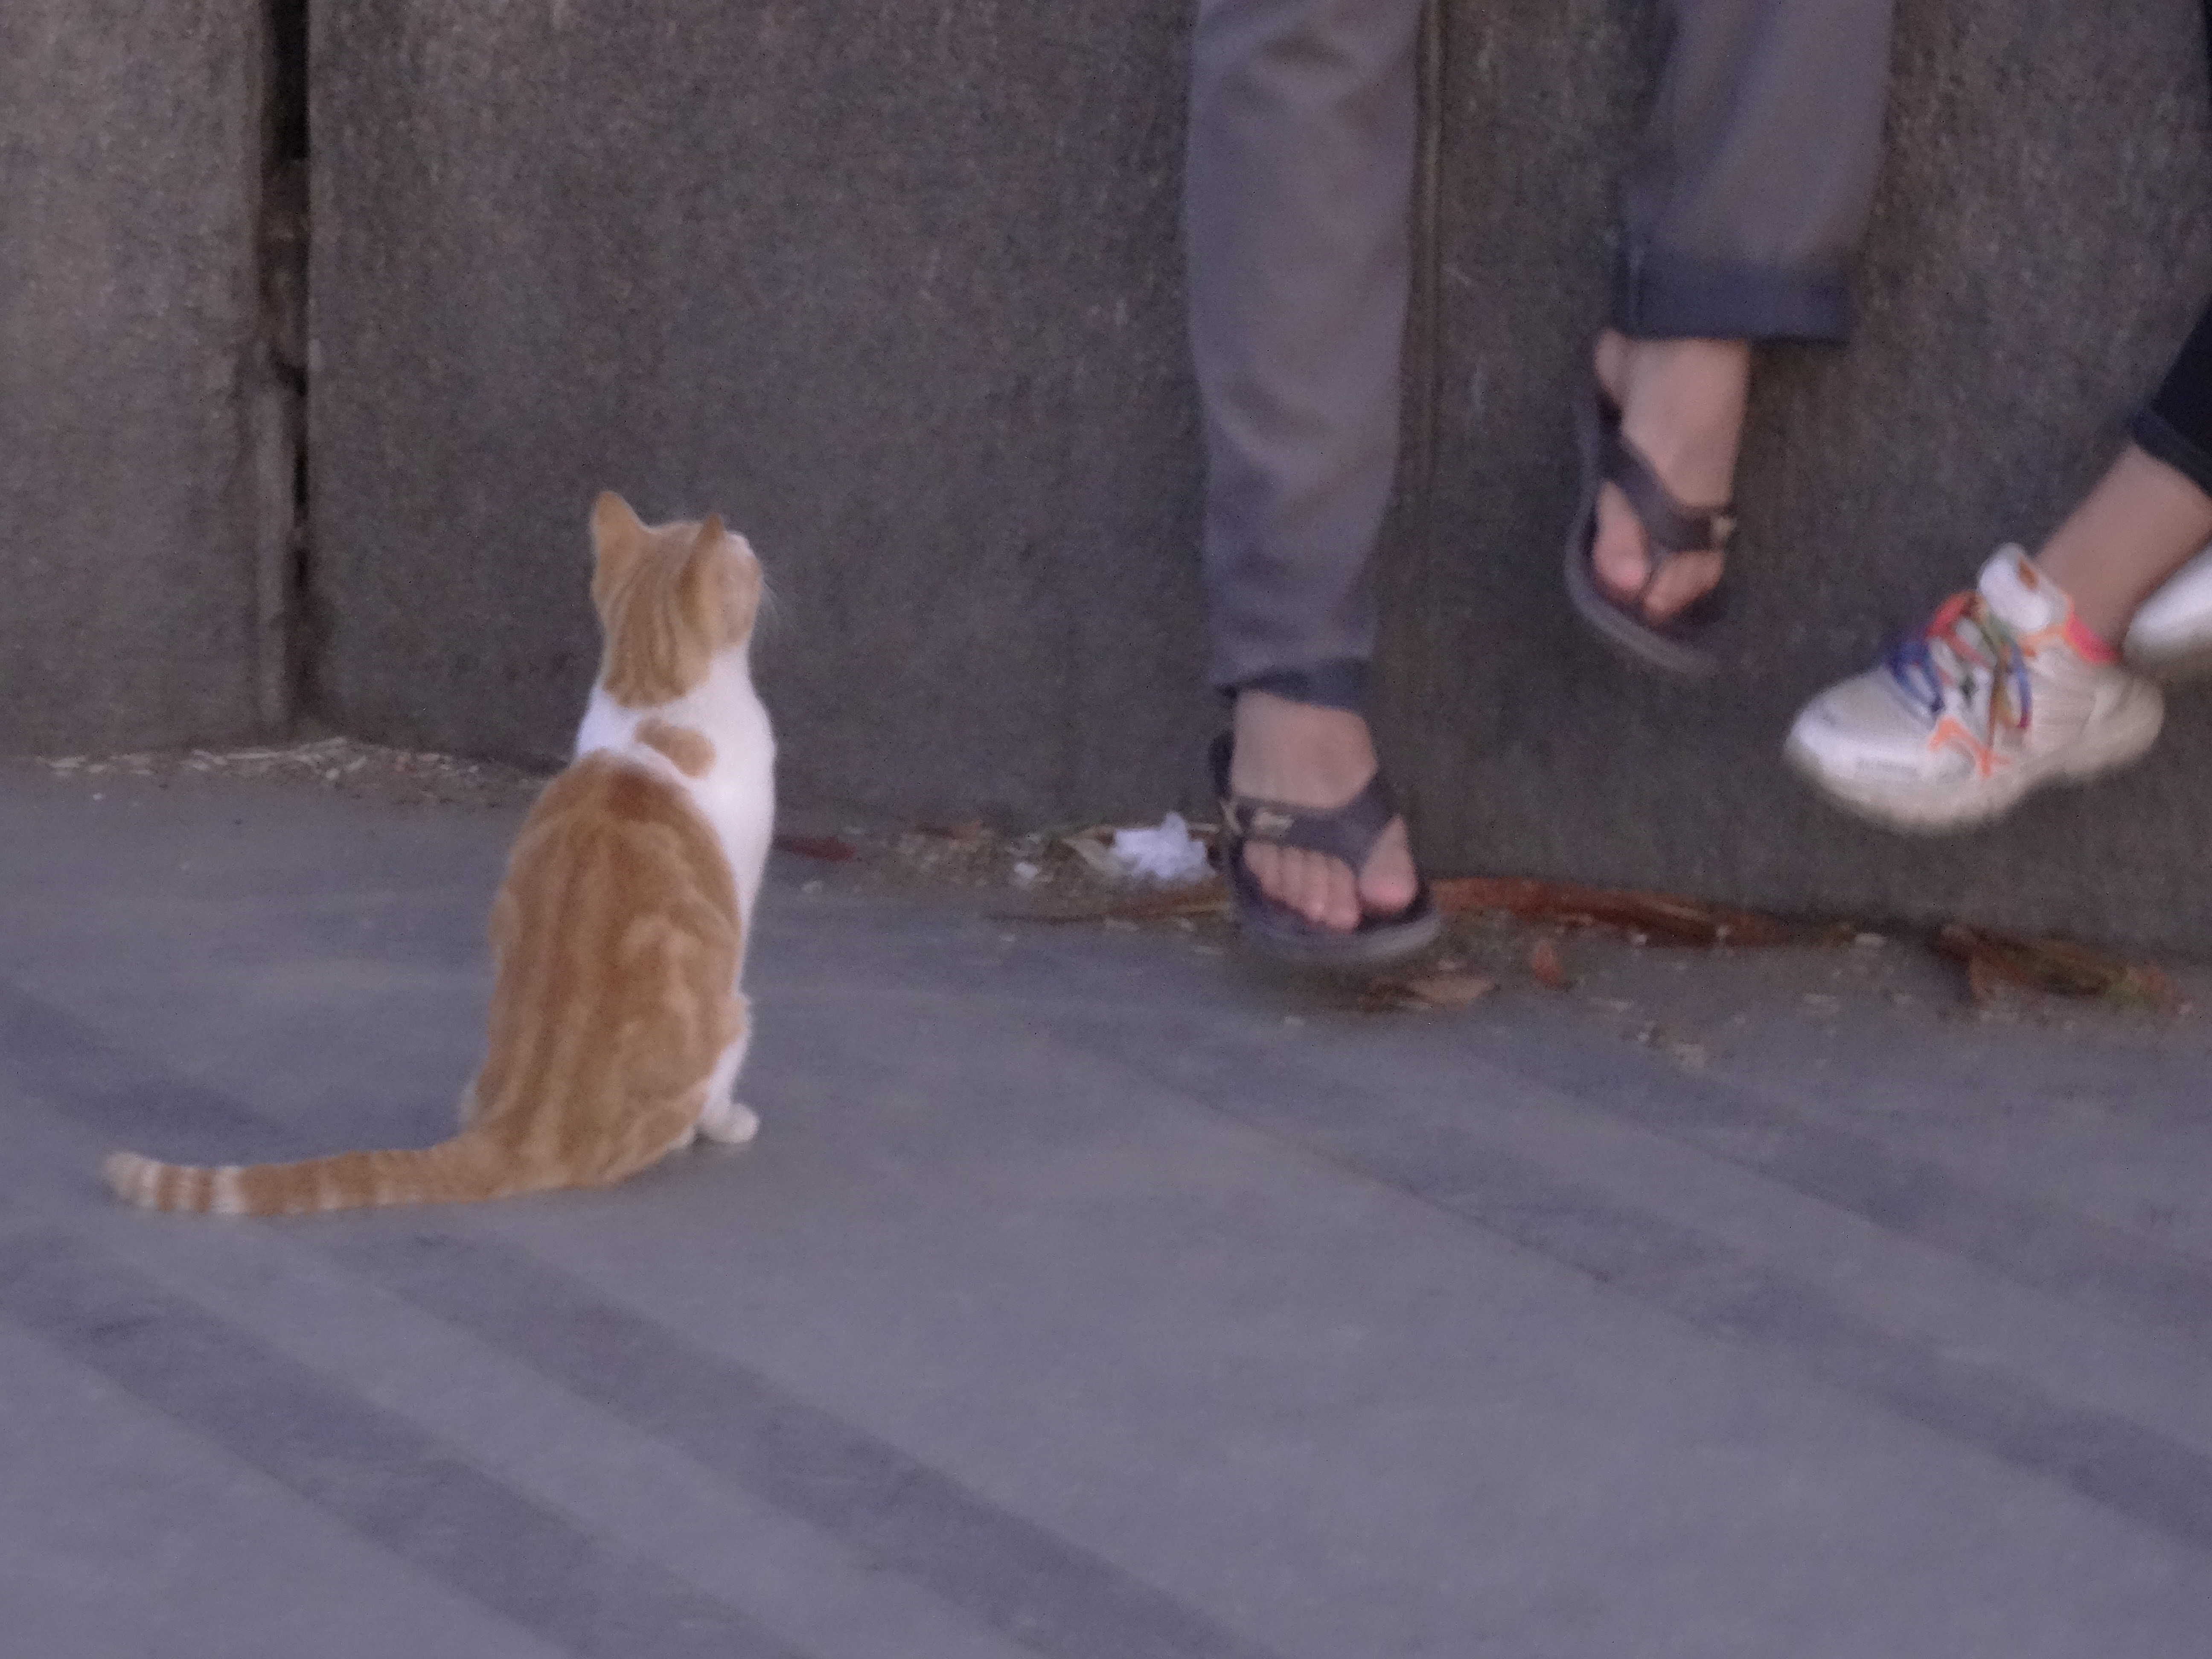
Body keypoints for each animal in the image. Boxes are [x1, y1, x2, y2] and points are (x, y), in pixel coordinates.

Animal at [105, 493, 778, 1221]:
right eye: (742, 556)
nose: (752, 542)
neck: (652, 703)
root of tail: (519, 1130)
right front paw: (730, 1123)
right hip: (733, 1010)